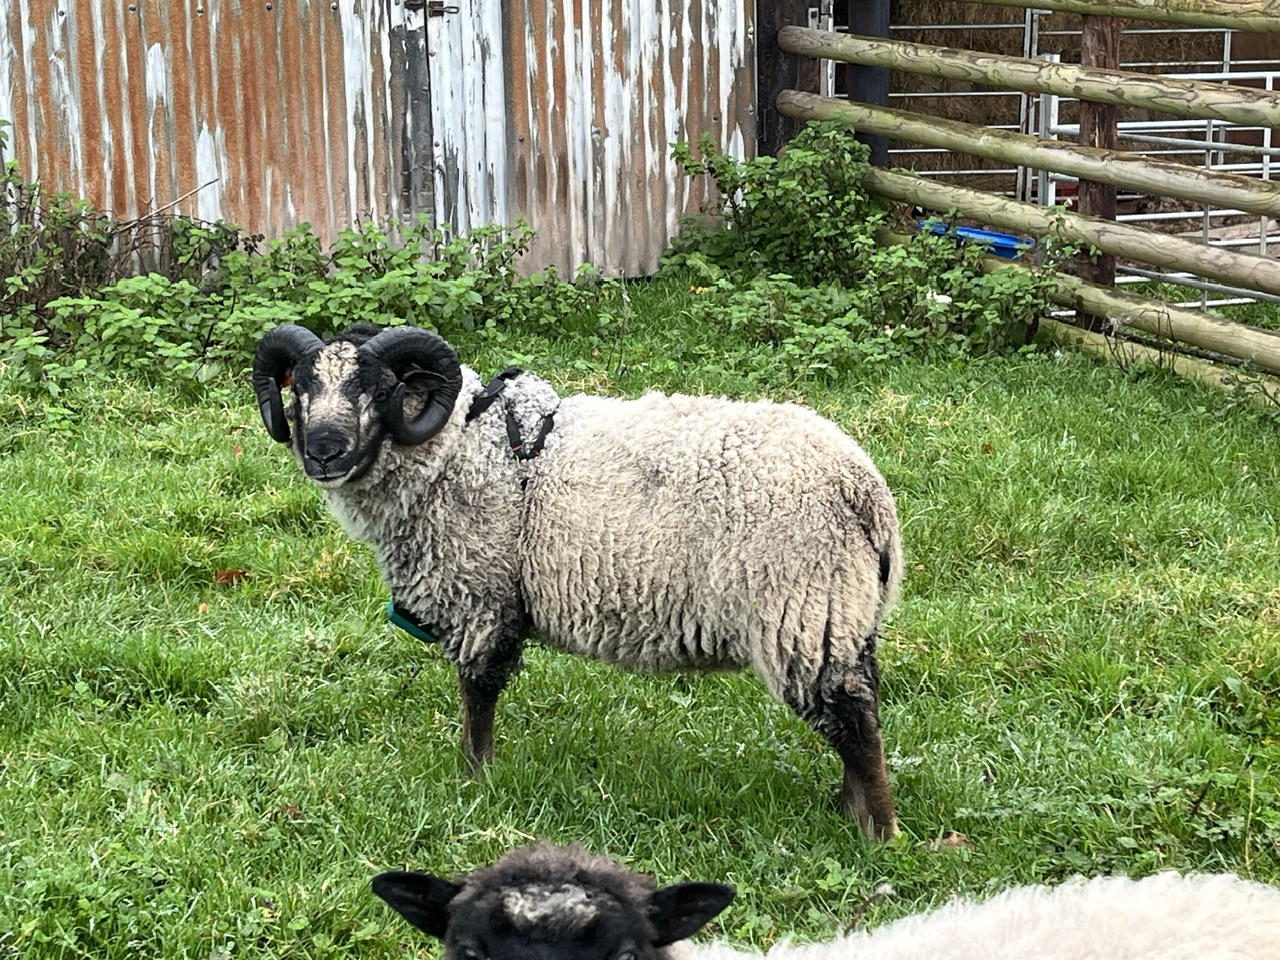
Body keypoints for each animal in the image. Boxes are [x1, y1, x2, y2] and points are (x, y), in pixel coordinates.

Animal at [252, 323, 903, 839]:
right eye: (300, 389)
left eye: (378, 389)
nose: (324, 452)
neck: (459, 447)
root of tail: (864, 489)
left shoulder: (480, 597)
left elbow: (477, 696)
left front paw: (475, 780)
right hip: (842, 613)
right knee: (858, 706)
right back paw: (848, 810)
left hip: (802, 610)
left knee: (853, 720)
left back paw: (879, 834)